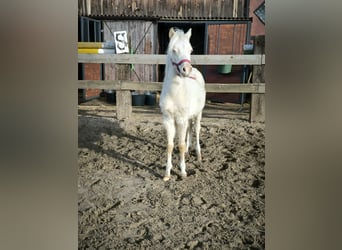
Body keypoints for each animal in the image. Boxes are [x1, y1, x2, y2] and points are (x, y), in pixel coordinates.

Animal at [160, 27, 206, 182]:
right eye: (174, 50)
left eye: (191, 50)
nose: (187, 69)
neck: (174, 93)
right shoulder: (168, 120)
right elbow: (170, 145)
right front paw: (167, 173)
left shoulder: (181, 119)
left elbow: (179, 145)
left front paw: (183, 172)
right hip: (187, 117)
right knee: (189, 130)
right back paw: (187, 151)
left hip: (198, 114)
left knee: (196, 130)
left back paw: (198, 156)